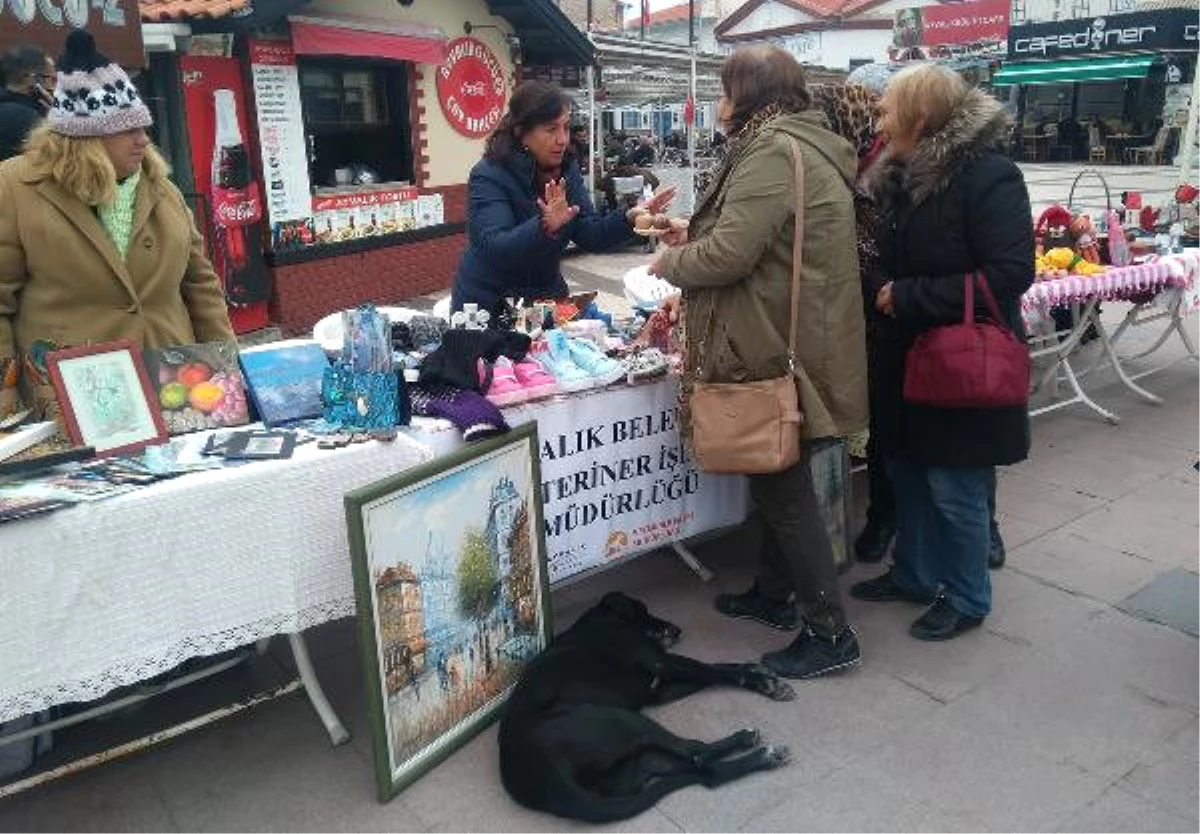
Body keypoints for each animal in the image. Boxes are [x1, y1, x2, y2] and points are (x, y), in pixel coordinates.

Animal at [499, 592, 796, 820]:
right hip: (624, 720)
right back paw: (755, 747)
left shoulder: (661, 689)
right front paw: (763, 682)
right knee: (697, 754)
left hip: (634, 765)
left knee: (706, 771)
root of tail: (551, 783)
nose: (677, 630)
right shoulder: (662, 663)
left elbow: (713, 670)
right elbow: (713, 671)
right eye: (643, 609)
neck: (604, 619)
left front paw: (753, 668)